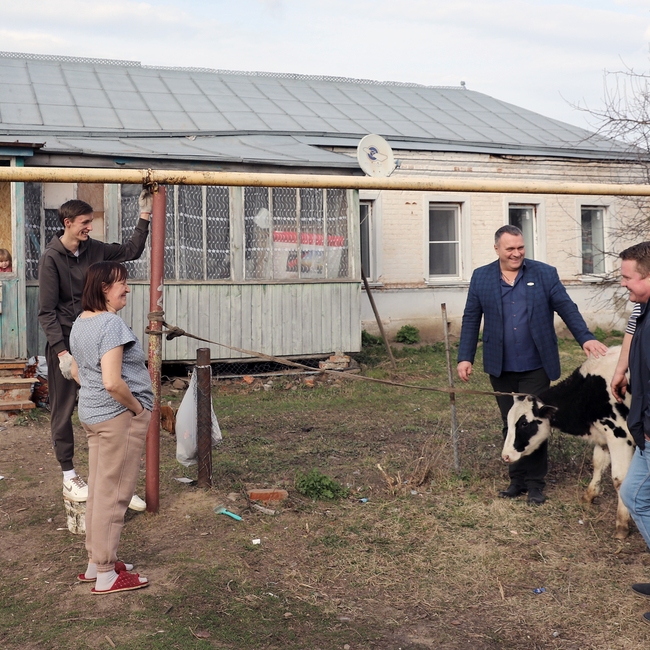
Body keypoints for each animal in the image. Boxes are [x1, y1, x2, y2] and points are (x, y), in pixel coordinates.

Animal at [500, 345, 635, 539]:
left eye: (524, 423)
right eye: (509, 421)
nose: (505, 456)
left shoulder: (620, 436)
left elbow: (620, 480)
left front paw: (622, 525)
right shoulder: (603, 437)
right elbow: (598, 463)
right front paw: (589, 495)